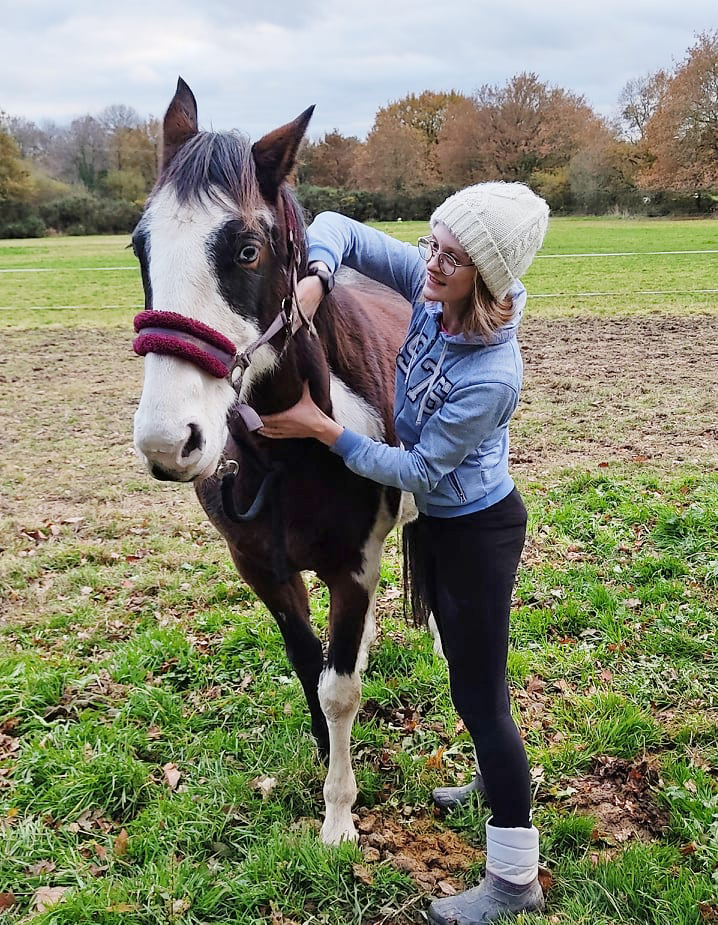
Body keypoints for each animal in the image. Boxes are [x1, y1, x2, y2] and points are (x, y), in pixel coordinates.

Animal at [133, 79, 416, 844]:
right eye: (140, 246)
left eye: (248, 250)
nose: (167, 440)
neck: (287, 454)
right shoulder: (262, 566)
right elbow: (308, 665)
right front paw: (326, 762)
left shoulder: (353, 564)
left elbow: (339, 687)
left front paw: (340, 812)